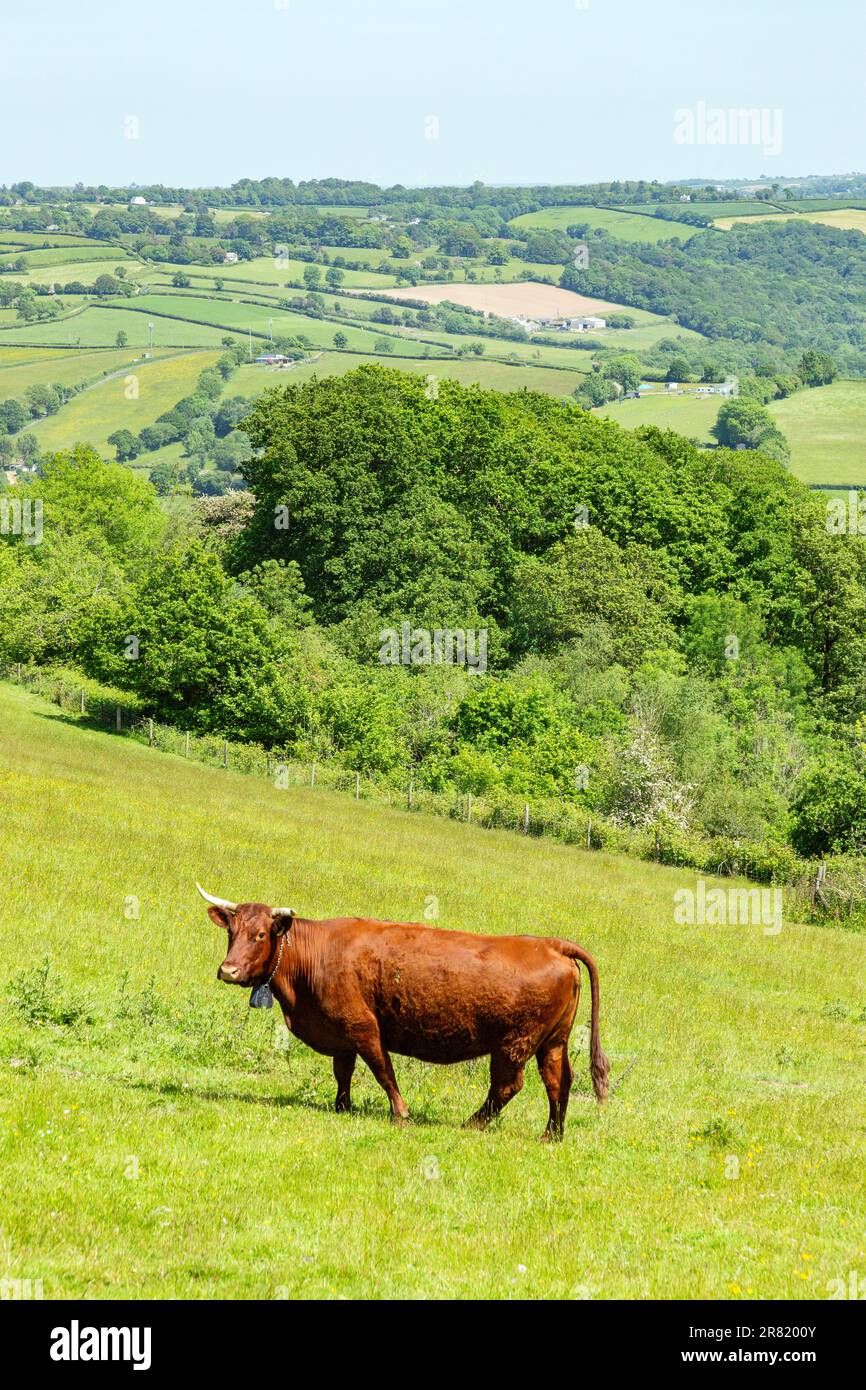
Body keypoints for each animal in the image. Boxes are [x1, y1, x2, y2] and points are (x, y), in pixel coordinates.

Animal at [196, 884, 609, 1140]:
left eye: (261, 935)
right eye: (231, 931)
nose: (228, 970)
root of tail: (551, 944)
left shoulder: (364, 1027)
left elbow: (383, 1071)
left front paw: (401, 1114)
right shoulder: (341, 1032)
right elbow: (343, 1072)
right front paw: (342, 1107)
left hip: (514, 1044)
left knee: (508, 1085)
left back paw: (472, 1124)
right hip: (552, 1042)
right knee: (558, 1082)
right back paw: (551, 1135)